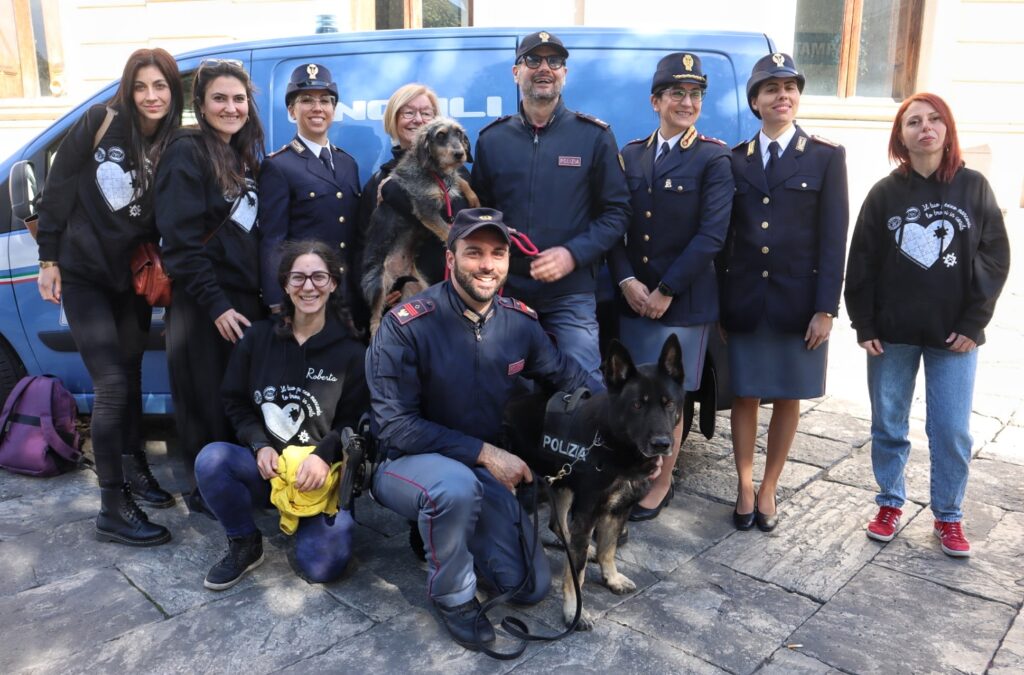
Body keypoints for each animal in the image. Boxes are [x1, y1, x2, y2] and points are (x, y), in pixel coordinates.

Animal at [362, 120, 477, 335]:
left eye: (459, 134)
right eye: (440, 135)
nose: (459, 154)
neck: (434, 171)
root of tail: (398, 274)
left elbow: (460, 179)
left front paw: (473, 197)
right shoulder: (425, 208)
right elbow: (448, 231)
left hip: (419, 287)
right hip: (378, 281)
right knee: (374, 319)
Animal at [501, 335, 684, 630]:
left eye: (668, 404)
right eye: (637, 405)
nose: (662, 444)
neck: (613, 444)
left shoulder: (618, 510)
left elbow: (608, 549)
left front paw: (611, 577)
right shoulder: (588, 512)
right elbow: (577, 574)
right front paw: (573, 610)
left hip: (562, 485)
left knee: (559, 526)